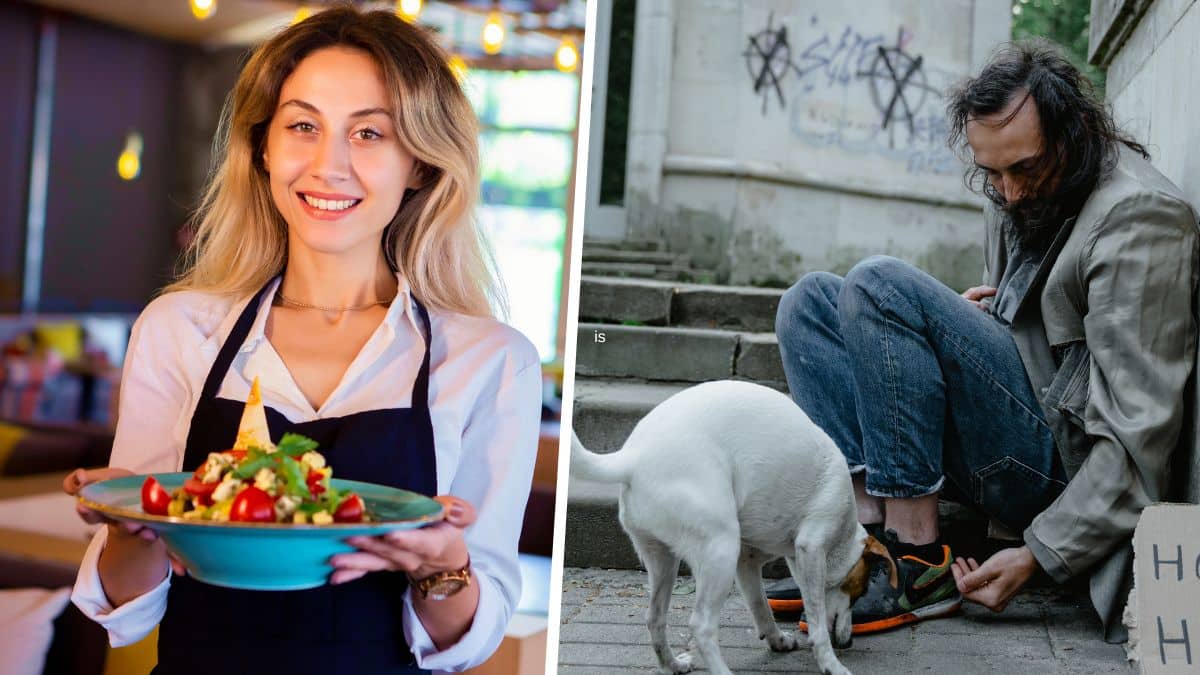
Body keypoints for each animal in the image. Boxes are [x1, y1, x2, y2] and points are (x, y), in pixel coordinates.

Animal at [568, 379, 892, 672]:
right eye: (859, 591)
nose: (848, 642)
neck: (844, 536)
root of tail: (633, 458)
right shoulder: (811, 548)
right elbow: (817, 620)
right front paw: (831, 664)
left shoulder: (747, 562)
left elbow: (760, 605)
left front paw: (776, 640)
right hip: (719, 550)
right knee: (701, 626)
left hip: (663, 560)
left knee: (655, 617)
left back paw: (673, 664)